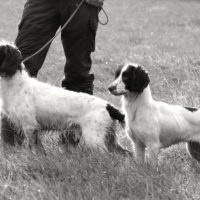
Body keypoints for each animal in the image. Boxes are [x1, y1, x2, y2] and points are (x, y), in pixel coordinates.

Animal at [0, 41, 130, 156]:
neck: (16, 85)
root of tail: (109, 106)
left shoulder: (30, 126)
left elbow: (34, 147)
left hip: (93, 138)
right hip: (110, 139)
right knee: (126, 153)